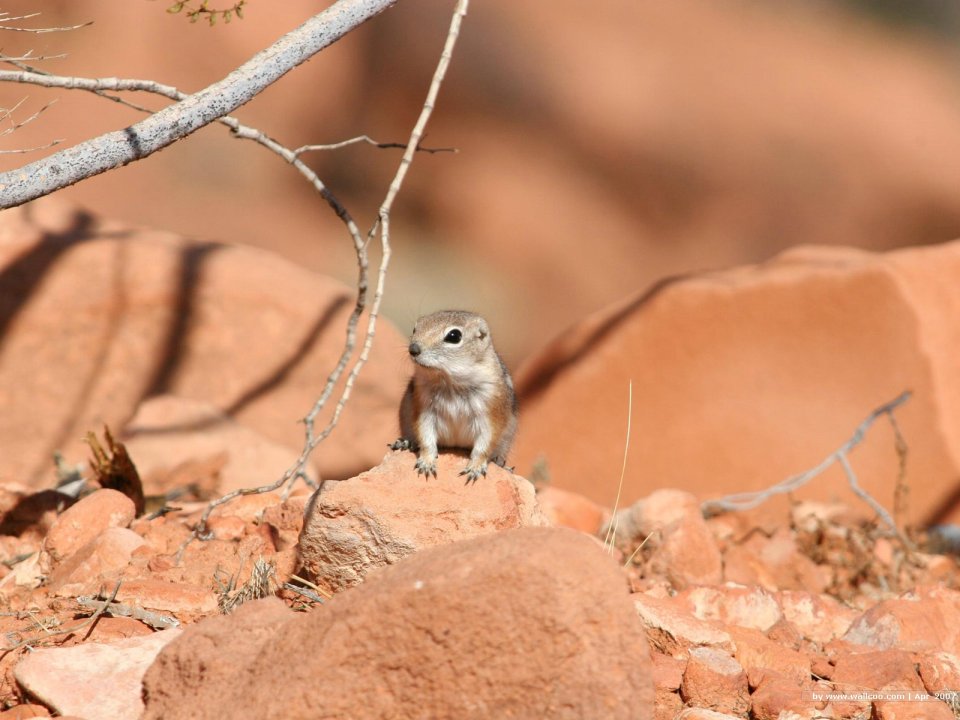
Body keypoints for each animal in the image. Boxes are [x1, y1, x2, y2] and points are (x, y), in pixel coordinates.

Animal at [390, 310, 518, 483]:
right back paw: (405, 443)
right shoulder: (423, 408)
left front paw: (475, 467)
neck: (450, 382)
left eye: (454, 336)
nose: (413, 348)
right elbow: (426, 438)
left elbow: (484, 445)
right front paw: (427, 462)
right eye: (415, 328)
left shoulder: (492, 413)